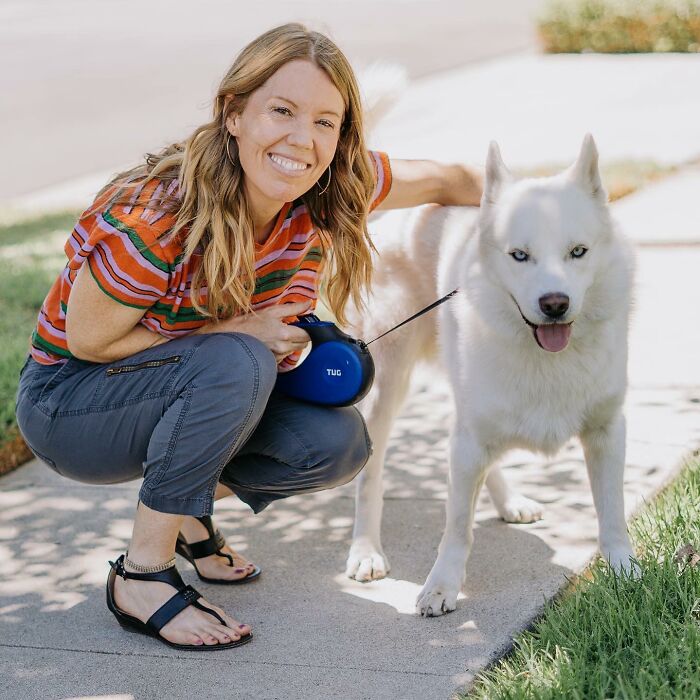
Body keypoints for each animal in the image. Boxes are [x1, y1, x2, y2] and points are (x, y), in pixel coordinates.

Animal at [342, 134, 636, 616]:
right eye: (519, 256)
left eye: (578, 252)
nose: (555, 303)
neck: (546, 357)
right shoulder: (467, 445)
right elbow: (457, 525)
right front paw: (442, 585)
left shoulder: (607, 432)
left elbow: (611, 509)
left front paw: (625, 571)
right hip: (387, 385)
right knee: (371, 475)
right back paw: (365, 550)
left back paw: (509, 500)